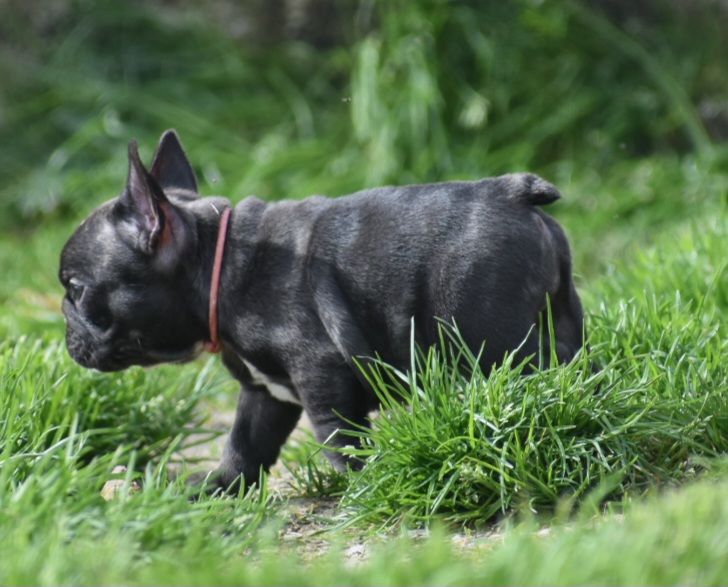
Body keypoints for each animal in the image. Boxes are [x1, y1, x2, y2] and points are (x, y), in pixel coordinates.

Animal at [59, 130, 584, 491]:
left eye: (76, 290)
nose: (64, 327)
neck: (218, 265)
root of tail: (512, 193)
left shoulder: (319, 373)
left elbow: (337, 437)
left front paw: (367, 481)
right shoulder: (265, 392)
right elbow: (245, 440)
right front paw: (220, 485)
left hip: (490, 333)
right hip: (561, 316)